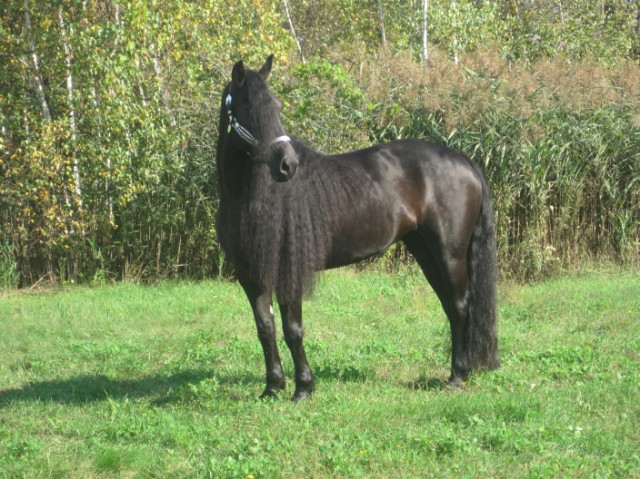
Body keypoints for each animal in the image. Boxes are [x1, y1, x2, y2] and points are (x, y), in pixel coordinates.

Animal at [215, 55, 499, 401]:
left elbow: (292, 330)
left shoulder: (288, 270)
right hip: (425, 252)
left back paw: (457, 376)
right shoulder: (250, 274)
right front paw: (272, 387)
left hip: (450, 253)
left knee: (460, 307)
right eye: (246, 108)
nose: (287, 165)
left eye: (276, 107)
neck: (247, 199)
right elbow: (264, 328)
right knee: (450, 307)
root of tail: (464, 161)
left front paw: (303, 388)